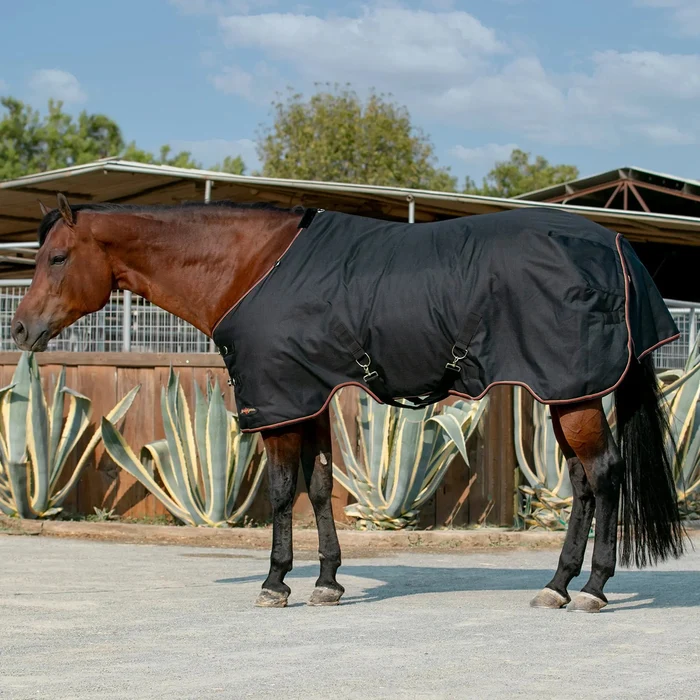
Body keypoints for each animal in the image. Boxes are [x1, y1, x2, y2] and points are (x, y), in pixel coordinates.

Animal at [12, 194, 684, 613]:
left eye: (58, 257)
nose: (20, 330)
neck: (253, 266)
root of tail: (616, 244)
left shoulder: (279, 402)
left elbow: (281, 490)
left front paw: (275, 582)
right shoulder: (308, 398)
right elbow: (317, 488)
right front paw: (328, 582)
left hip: (574, 395)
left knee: (605, 475)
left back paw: (591, 587)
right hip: (564, 393)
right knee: (584, 482)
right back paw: (560, 584)